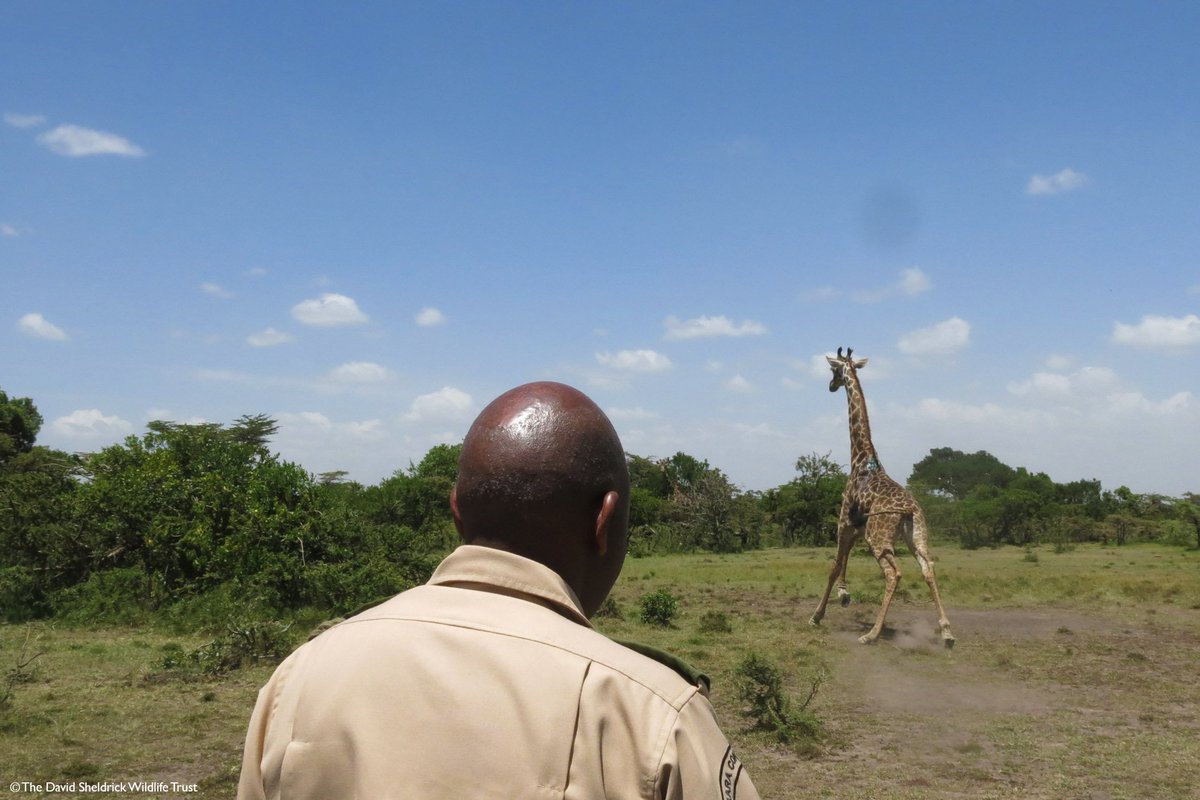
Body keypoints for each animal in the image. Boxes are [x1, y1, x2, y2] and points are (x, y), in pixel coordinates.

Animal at [809, 347, 956, 647]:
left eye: (833, 370)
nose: (831, 386)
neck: (861, 458)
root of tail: (910, 510)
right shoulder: (858, 523)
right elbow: (844, 560)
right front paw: (844, 595)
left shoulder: (844, 519)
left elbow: (834, 565)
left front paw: (816, 616)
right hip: (916, 536)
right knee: (928, 567)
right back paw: (946, 632)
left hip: (878, 538)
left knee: (893, 573)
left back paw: (871, 634)